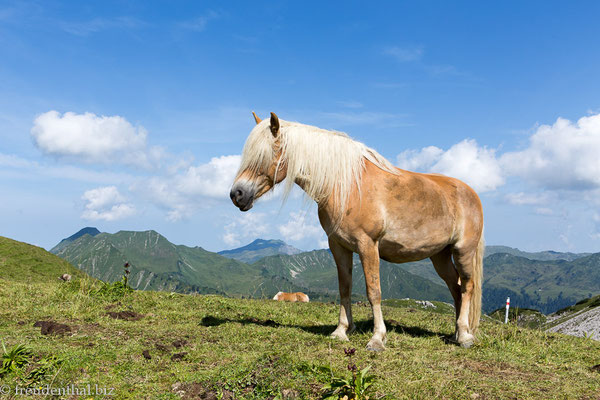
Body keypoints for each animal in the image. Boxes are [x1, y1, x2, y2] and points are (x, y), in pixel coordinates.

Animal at [232, 111, 486, 350]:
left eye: (265, 155)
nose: (236, 194)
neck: (347, 186)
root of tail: (471, 193)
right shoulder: (338, 246)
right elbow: (345, 287)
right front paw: (341, 330)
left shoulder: (368, 245)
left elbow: (373, 290)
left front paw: (377, 338)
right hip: (440, 256)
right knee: (455, 288)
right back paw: (456, 334)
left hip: (463, 250)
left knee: (467, 286)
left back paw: (465, 336)